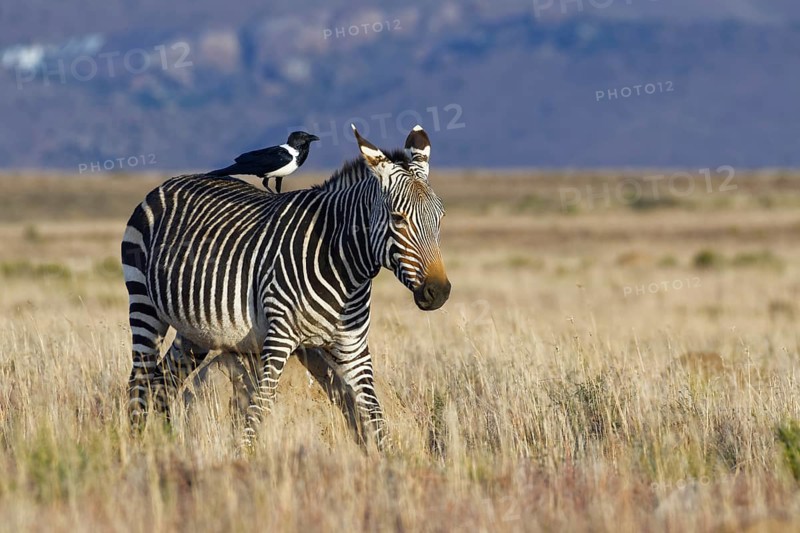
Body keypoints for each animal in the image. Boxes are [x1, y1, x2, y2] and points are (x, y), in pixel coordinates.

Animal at [121, 124, 451, 449]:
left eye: (441, 217)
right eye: (398, 218)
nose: (438, 292)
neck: (346, 269)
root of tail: (169, 181)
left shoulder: (353, 345)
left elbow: (374, 411)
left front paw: (389, 459)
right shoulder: (279, 338)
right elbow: (261, 406)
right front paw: (244, 455)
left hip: (195, 332)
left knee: (163, 382)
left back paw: (164, 442)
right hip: (143, 303)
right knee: (139, 378)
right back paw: (137, 444)